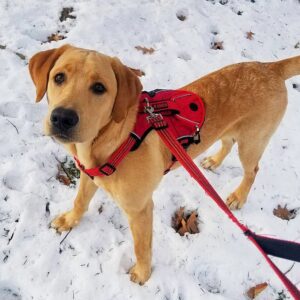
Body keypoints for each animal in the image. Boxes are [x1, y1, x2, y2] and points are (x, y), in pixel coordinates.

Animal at [28, 44, 300, 284]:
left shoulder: (140, 209)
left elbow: (141, 247)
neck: (108, 141)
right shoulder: (89, 175)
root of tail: (270, 67)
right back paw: (214, 160)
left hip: (252, 143)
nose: (62, 117)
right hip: (231, 132)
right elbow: (80, 201)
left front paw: (142, 274)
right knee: (227, 143)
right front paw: (69, 220)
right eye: (59, 77)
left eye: (99, 88)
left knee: (252, 170)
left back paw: (238, 196)